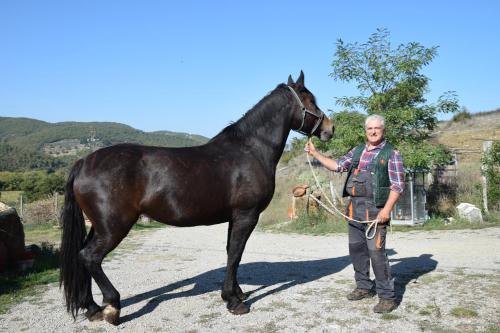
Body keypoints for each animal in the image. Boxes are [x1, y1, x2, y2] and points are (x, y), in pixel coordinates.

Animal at [60, 71, 334, 322]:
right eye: (310, 100)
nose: (330, 129)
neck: (250, 150)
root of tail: (83, 162)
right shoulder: (246, 215)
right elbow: (235, 254)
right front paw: (233, 302)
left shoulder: (234, 217)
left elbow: (231, 252)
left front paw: (237, 293)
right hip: (114, 227)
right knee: (90, 257)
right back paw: (112, 307)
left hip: (100, 226)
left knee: (83, 256)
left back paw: (92, 308)